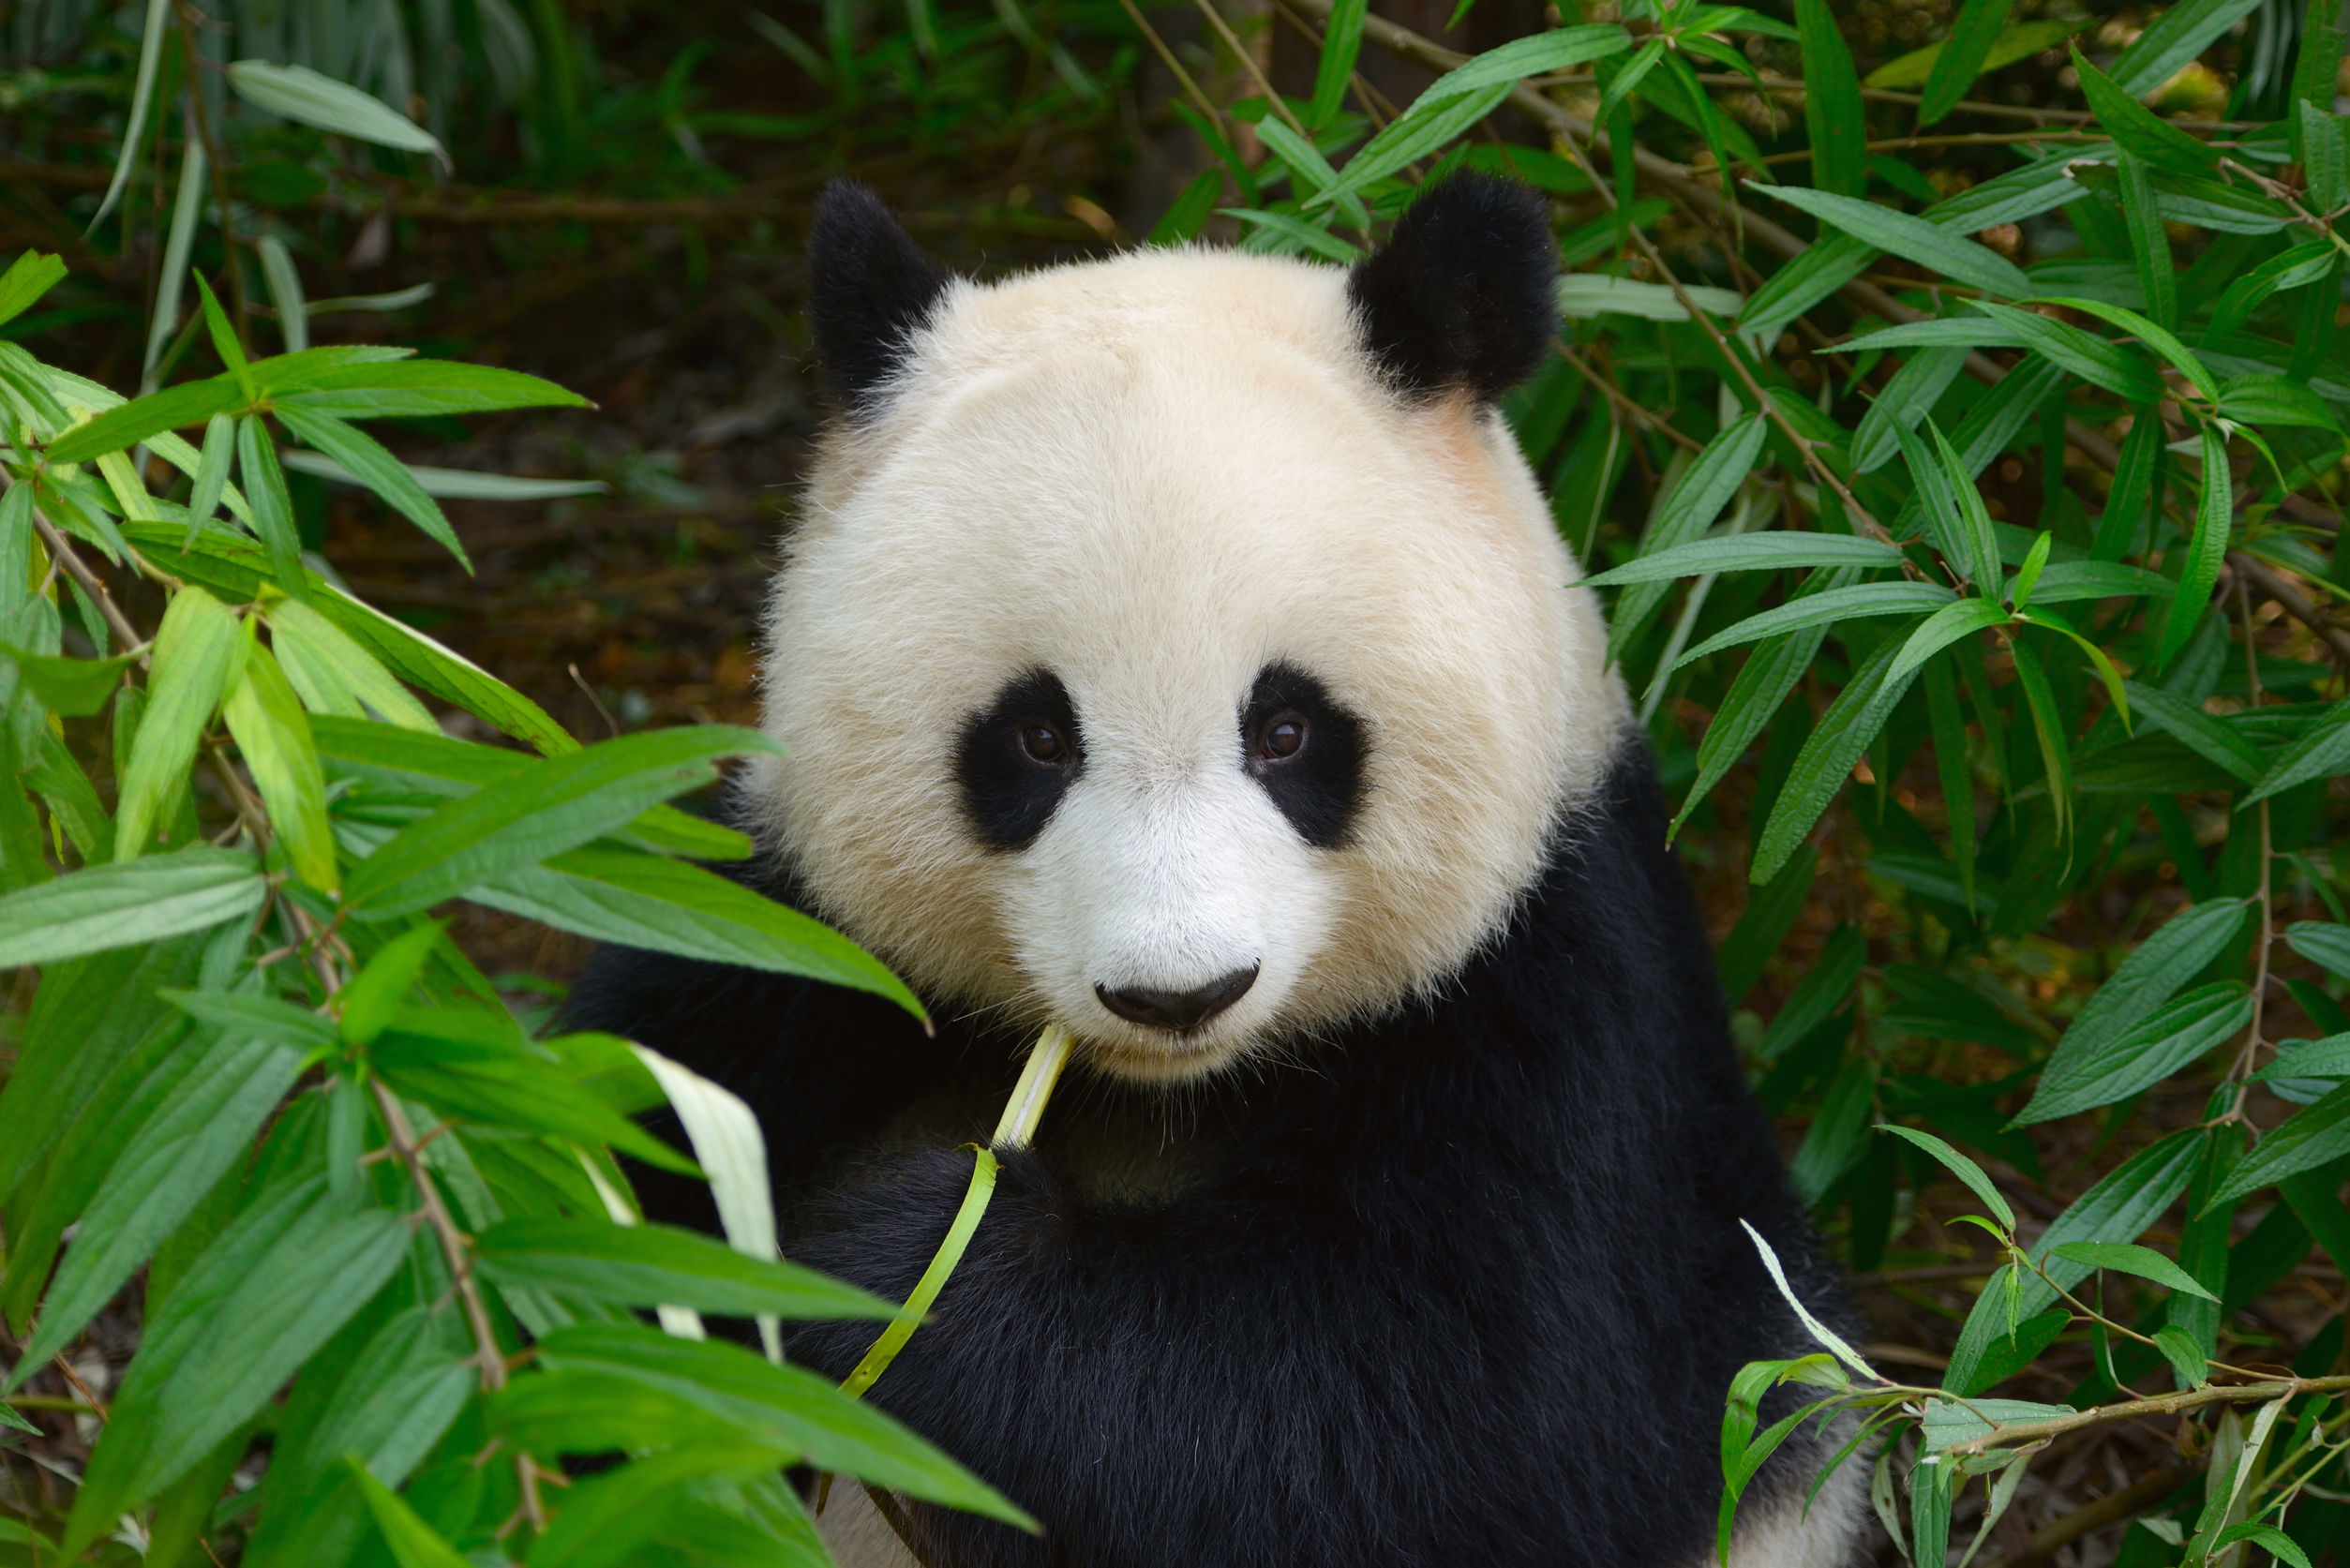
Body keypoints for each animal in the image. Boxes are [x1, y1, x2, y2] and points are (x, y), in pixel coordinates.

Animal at [568, 172, 1851, 1568]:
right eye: (1035, 737)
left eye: (1285, 731)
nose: (1177, 992)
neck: (1165, 1092)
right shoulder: (789, 942)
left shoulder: (1558, 1006)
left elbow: (1444, 1416)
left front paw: (909, 1264)